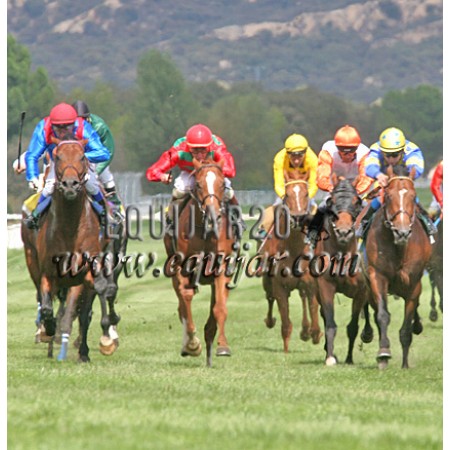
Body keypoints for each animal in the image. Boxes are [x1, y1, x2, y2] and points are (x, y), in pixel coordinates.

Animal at [21, 137, 126, 362]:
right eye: (58, 157)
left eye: (82, 157)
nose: (70, 185)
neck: (69, 227)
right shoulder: (48, 273)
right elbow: (48, 308)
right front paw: (50, 329)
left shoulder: (88, 271)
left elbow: (94, 299)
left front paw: (105, 337)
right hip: (32, 261)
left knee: (89, 307)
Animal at [163, 158, 238, 367]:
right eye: (198, 184)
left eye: (222, 184)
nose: (213, 216)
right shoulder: (183, 266)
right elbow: (186, 300)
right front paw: (192, 344)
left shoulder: (221, 267)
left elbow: (219, 307)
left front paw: (222, 346)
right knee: (181, 306)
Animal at [261, 170, 322, 353]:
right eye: (287, 195)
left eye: (306, 193)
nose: (298, 218)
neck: (294, 248)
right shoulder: (280, 287)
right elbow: (285, 321)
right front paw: (286, 350)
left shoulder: (311, 284)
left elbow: (313, 306)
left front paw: (315, 333)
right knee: (269, 297)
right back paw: (271, 321)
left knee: (303, 298)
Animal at [312, 175, 373, 366]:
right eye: (331, 202)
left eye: (356, 202)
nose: (344, 232)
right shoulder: (324, 286)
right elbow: (329, 322)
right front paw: (330, 356)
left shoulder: (361, 290)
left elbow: (353, 326)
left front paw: (349, 358)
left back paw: (368, 333)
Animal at [363, 165, 432, 369]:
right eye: (389, 195)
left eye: (413, 195)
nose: (402, 232)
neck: (399, 247)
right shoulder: (377, 276)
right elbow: (382, 316)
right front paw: (383, 353)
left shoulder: (414, 282)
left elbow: (406, 327)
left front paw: (405, 364)